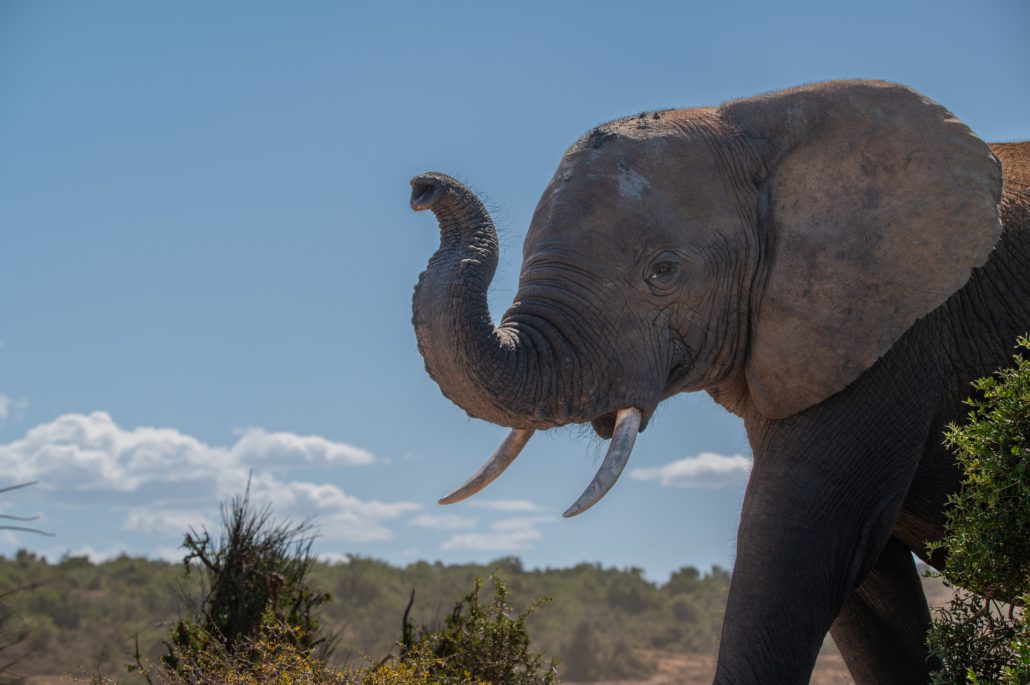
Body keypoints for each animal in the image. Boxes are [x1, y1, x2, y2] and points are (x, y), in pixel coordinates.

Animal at [407, 80, 1030, 683]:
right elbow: (864, 584)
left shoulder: (896, 330)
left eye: (663, 271)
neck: (764, 123)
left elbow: (802, 542)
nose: (423, 186)